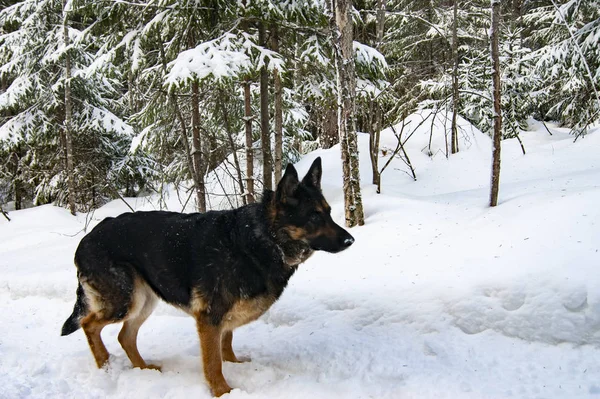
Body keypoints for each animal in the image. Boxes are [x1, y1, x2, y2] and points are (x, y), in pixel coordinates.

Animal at [61, 159, 354, 396]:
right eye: (314, 216)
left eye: (328, 212)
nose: (350, 240)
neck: (260, 240)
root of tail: (88, 237)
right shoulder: (210, 318)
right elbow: (213, 362)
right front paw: (223, 392)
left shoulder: (224, 318)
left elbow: (227, 343)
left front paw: (234, 365)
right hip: (124, 301)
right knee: (89, 324)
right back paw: (107, 369)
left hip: (144, 301)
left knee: (125, 336)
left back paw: (143, 370)